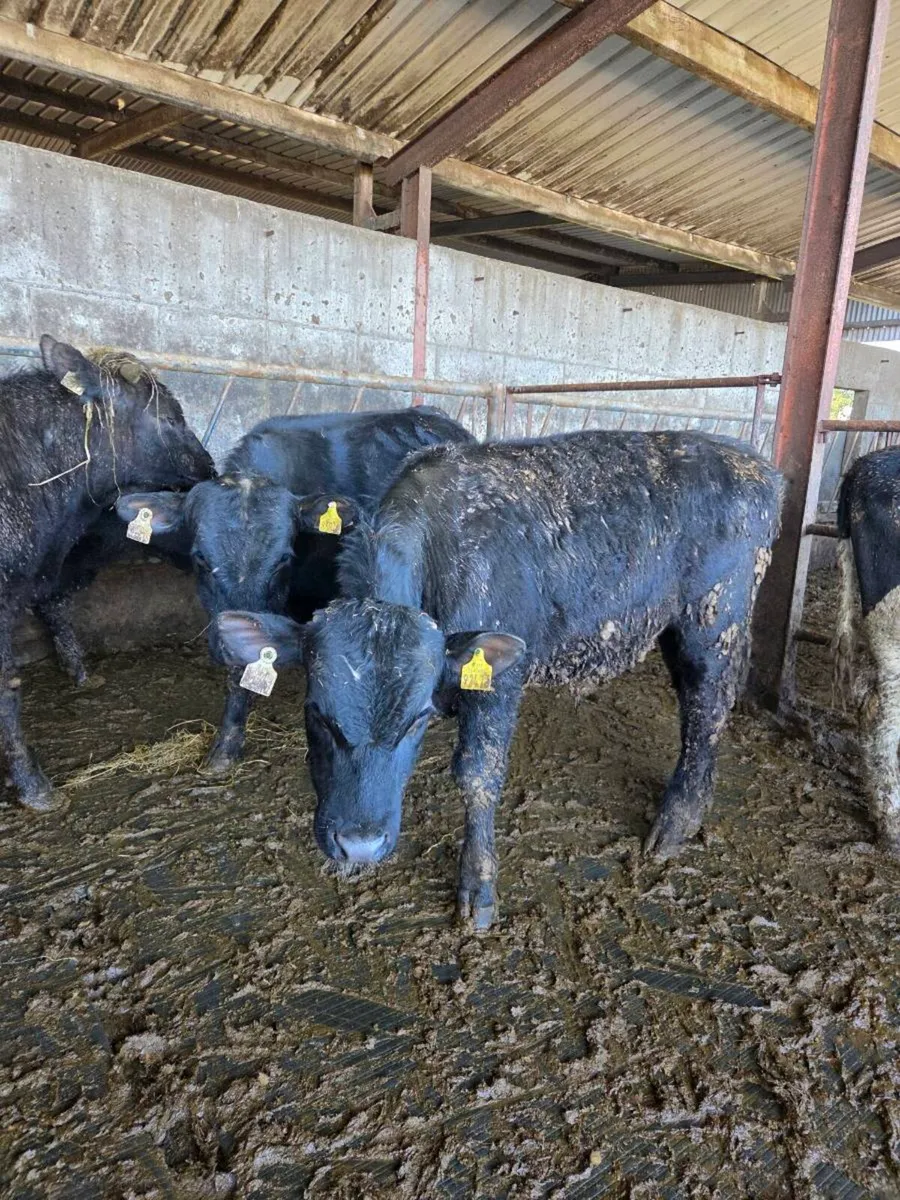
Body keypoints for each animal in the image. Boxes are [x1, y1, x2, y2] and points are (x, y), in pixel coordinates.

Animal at [213, 430, 781, 929]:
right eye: (317, 713)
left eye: (416, 722)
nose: (360, 844)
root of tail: (754, 465)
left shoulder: (499, 683)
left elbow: (477, 774)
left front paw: (479, 889)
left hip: (716, 618)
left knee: (706, 705)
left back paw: (675, 822)